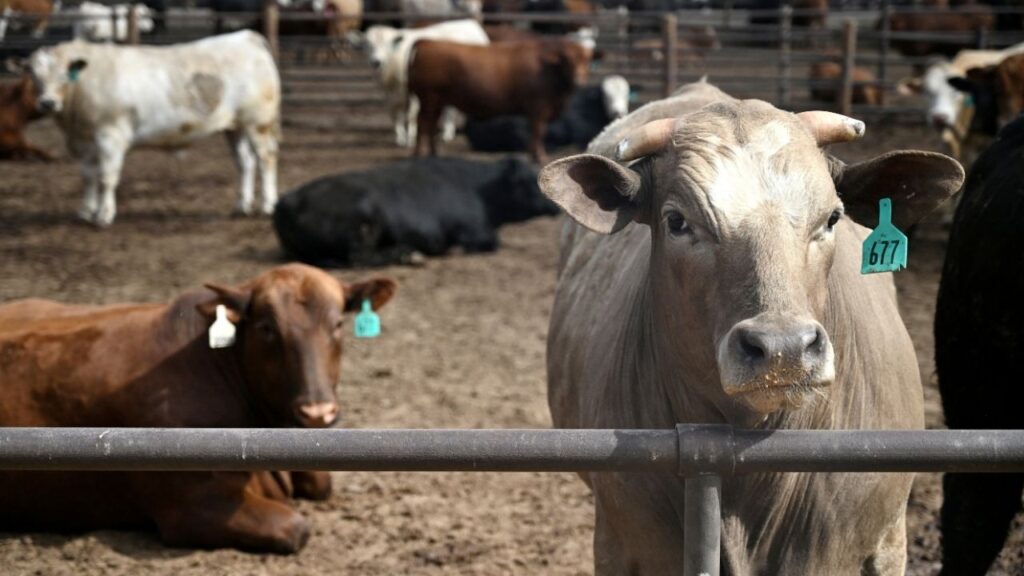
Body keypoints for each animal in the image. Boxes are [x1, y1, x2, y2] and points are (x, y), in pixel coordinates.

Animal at [0, 263, 397, 553]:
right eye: (267, 328)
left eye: (338, 323)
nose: (317, 412)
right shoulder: (193, 507)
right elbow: (296, 528)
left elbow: (320, 483)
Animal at [15, 30, 280, 227]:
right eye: (33, 74)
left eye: (63, 75)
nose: (47, 103)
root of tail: (247, 37)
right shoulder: (85, 141)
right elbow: (88, 177)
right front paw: (85, 212)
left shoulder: (111, 137)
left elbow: (107, 178)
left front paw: (104, 215)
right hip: (235, 127)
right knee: (245, 162)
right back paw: (241, 207)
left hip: (258, 123)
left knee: (266, 158)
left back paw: (268, 206)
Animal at [272, 156, 558, 266]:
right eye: (531, 181)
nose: (556, 205)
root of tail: (285, 200)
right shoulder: (471, 229)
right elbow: (489, 241)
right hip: (363, 220)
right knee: (360, 257)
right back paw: (409, 255)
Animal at [359, 19, 489, 148]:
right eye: (368, 45)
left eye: (387, 45)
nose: (376, 62)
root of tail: (470, 23)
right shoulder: (389, 93)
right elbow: (395, 113)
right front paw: (400, 138)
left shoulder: (412, 91)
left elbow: (412, 114)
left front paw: (411, 139)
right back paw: (448, 132)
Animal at [409, 37, 593, 163]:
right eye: (567, 61)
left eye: (586, 60)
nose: (579, 79)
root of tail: (427, 42)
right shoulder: (538, 107)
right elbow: (538, 132)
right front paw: (539, 156)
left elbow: (534, 133)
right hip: (428, 98)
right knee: (422, 123)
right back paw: (418, 154)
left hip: (437, 101)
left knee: (431, 124)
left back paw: (434, 154)